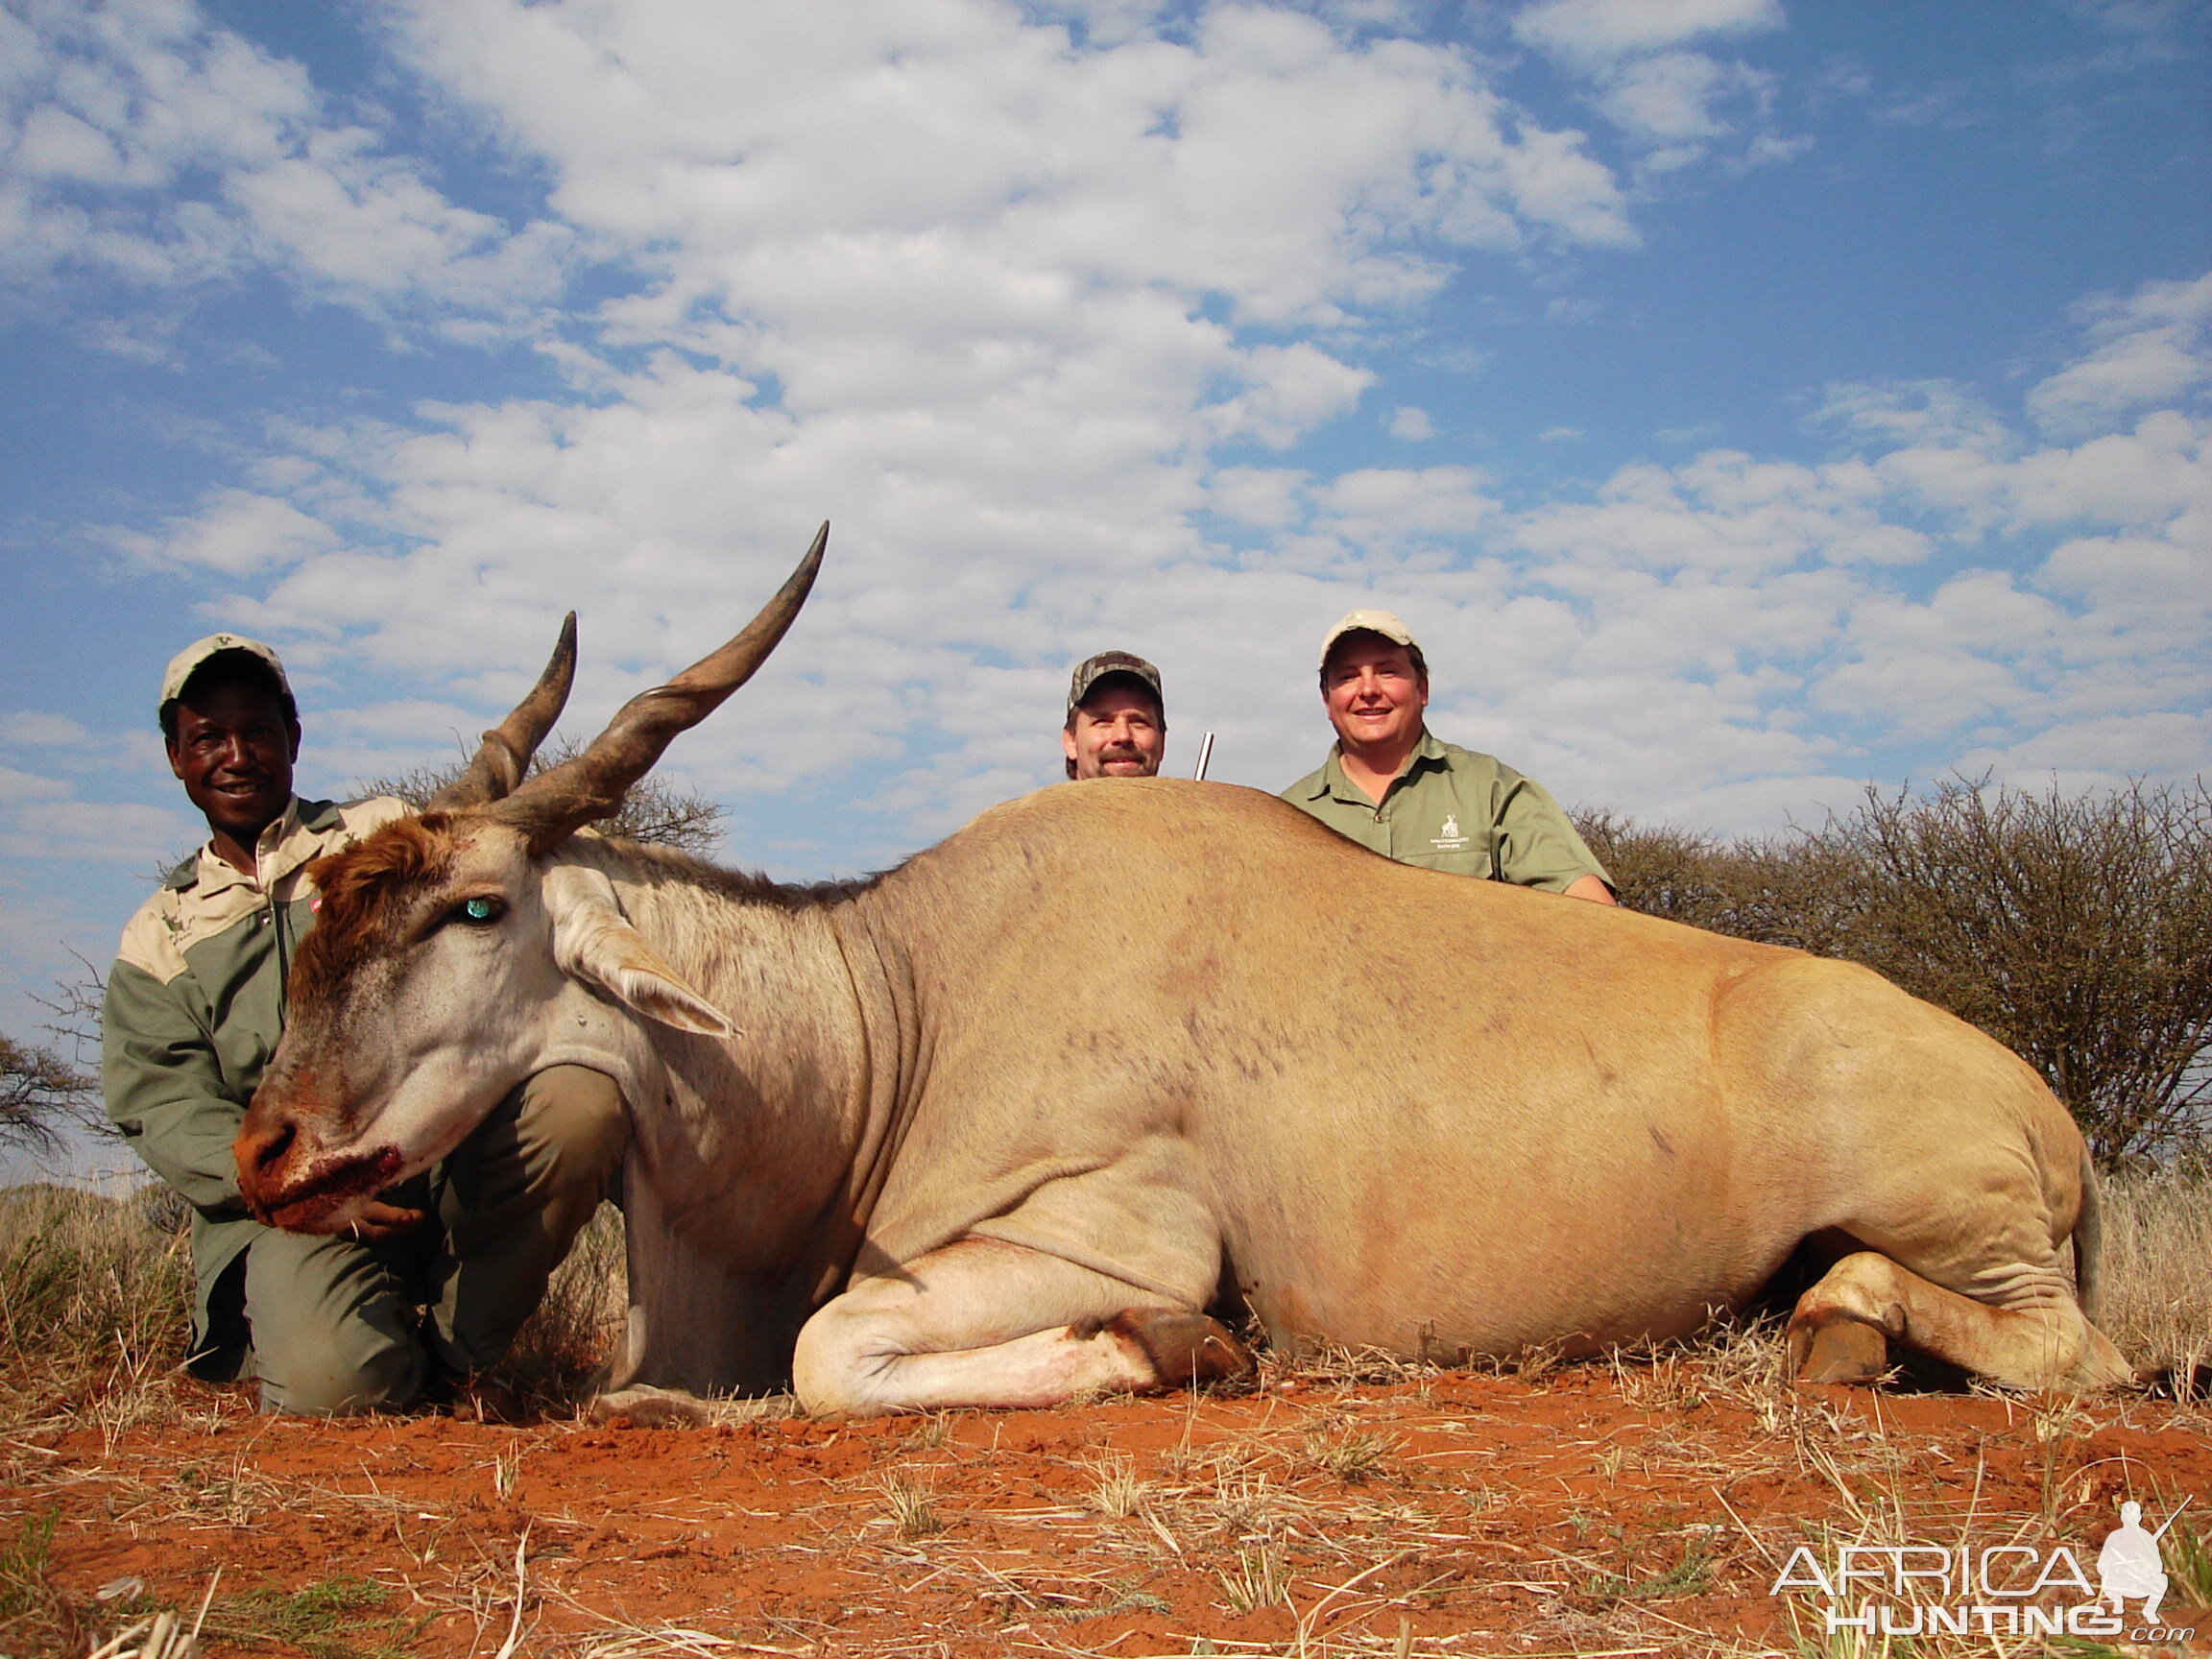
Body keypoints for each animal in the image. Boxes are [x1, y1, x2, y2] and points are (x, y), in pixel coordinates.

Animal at [233, 528, 2132, 1415]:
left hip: (1961, 1232)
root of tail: (2045, 1113)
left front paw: (1167, 1357)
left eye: (475, 908)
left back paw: (1842, 1336)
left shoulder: (1104, 1235)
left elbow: (841, 1351)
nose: (270, 1148)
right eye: (326, 900)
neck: (897, 1001)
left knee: (2066, 1354)